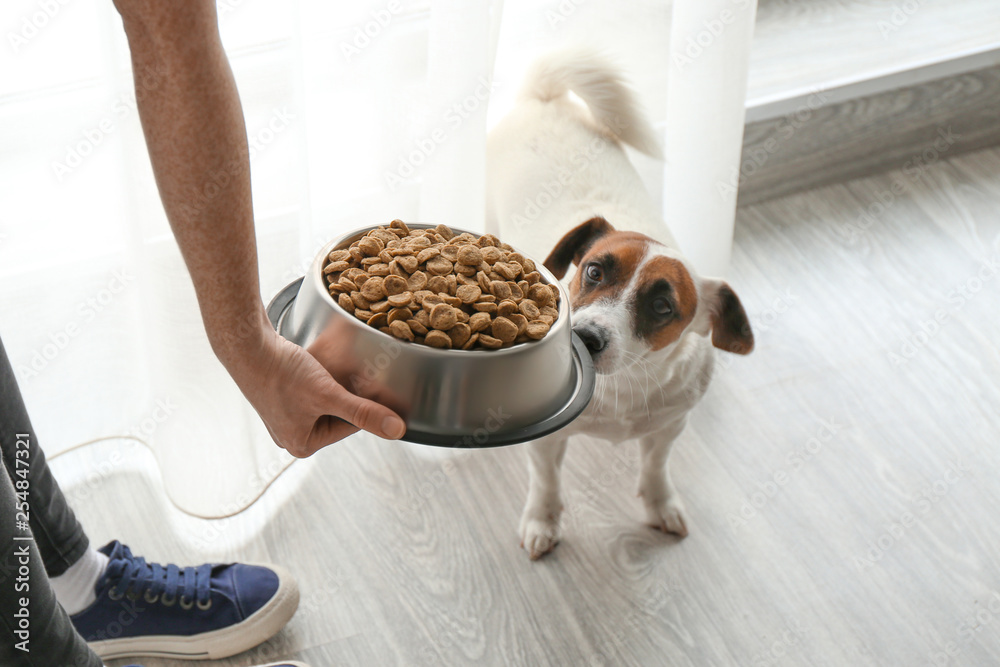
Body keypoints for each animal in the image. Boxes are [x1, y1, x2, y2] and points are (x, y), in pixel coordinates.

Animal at [482, 51, 752, 560]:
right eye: (593, 271)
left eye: (663, 306)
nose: (585, 337)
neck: (619, 388)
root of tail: (545, 98)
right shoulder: (548, 443)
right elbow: (546, 484)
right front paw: (542, 521)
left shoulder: (668, 429)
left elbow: (656, 469)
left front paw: (660, 503)